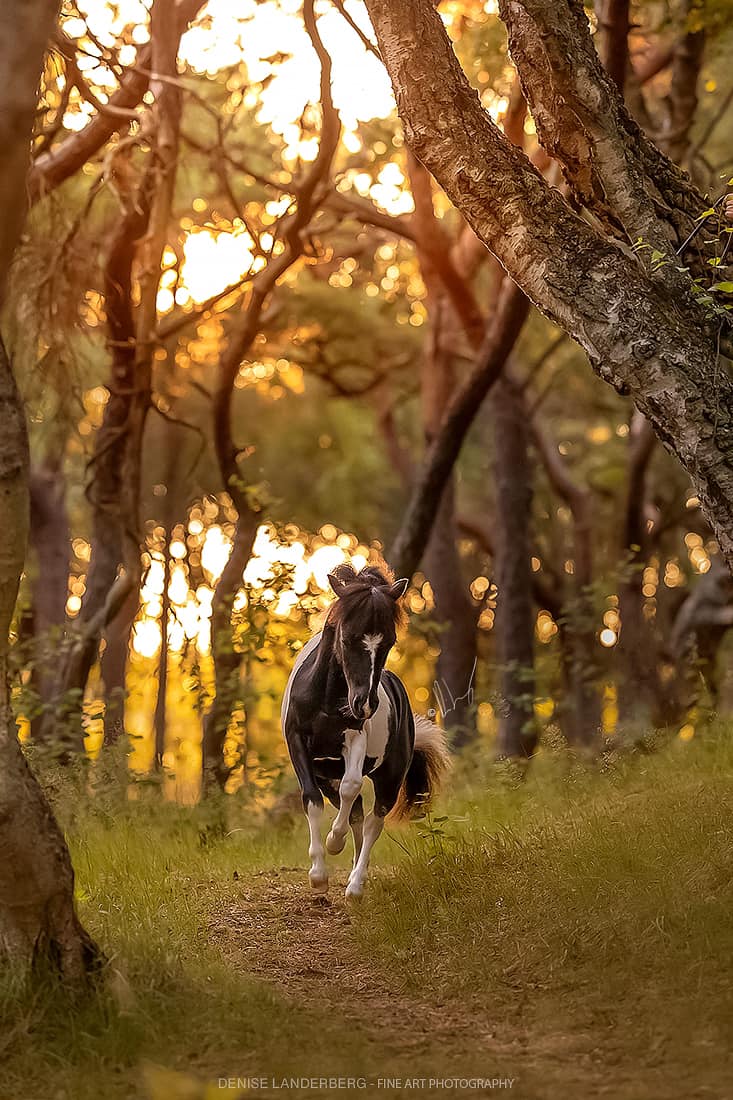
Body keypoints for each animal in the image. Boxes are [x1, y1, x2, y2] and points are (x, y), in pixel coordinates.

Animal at [281, 561, 449, 898]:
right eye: (348, 638)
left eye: (389, 641)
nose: (364, 705)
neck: (325, 699)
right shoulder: (298, 744)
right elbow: (312, 800)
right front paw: (318, 874)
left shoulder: (355, 738)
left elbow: (352, 786)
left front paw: (334, 842)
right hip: (327, 775)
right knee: (357, 815)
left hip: (389, 778)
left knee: (373, 821)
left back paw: (356, 886)